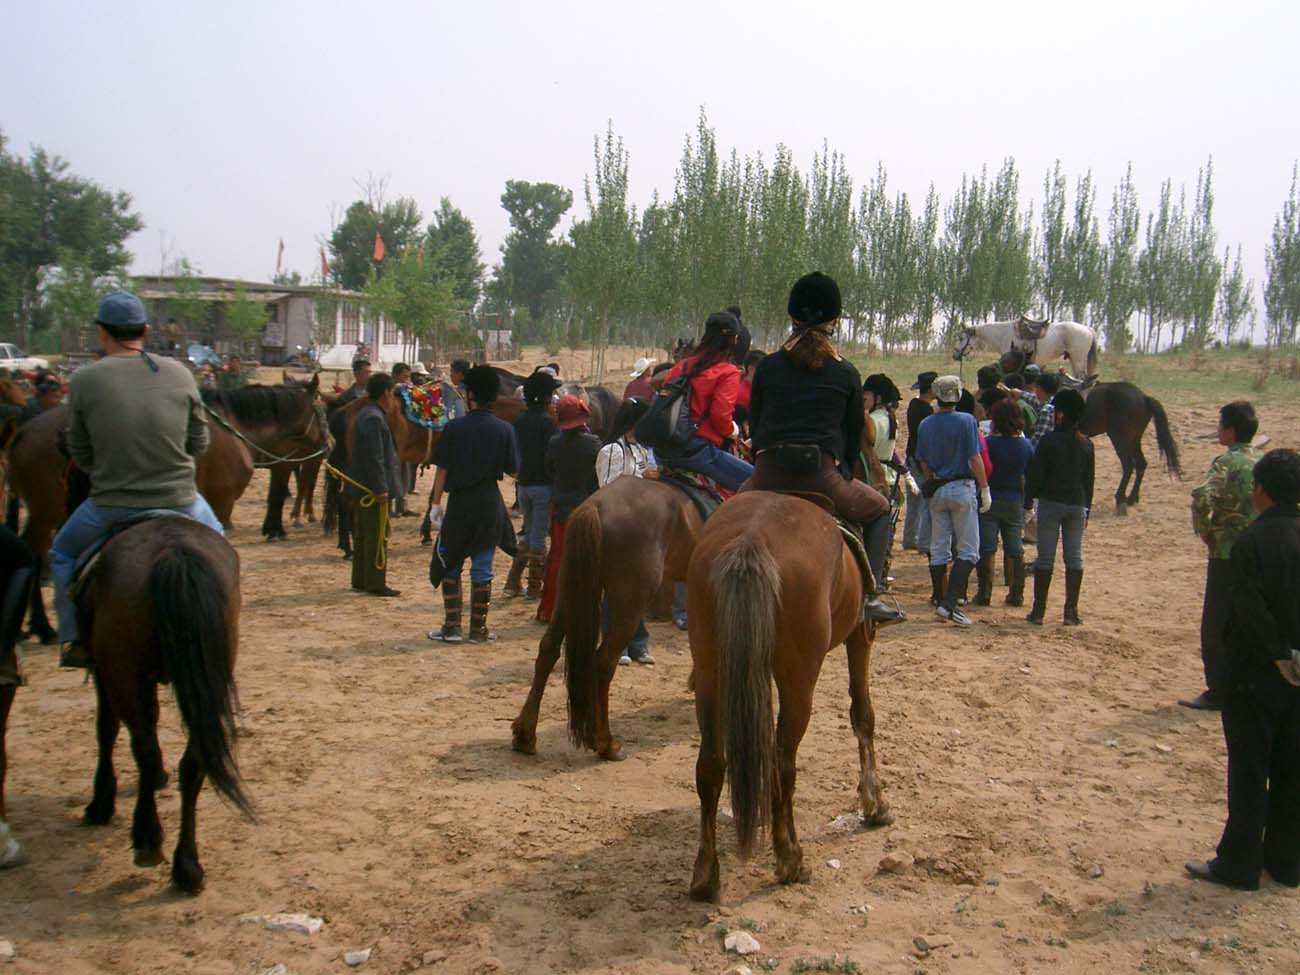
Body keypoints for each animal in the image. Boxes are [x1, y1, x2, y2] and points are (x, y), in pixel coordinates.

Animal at [75, 520, 250, 894]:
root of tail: (173, 551)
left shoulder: (105, 670)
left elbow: (106, 729)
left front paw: (101, 801)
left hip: (122, 670)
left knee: (144, 746)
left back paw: (147, 838)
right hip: (209, 675)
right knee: (193, 761)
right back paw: (188, 865)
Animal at [512, 478, 707, 759]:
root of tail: (595, 505)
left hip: (570, 589)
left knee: (548, 648)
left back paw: (525, 735)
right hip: (630, 603)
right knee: (604, 662)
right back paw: (605, 742)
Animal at [686, 496, 889, 909]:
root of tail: (751, 540)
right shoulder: (861, 635)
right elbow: (863, 714)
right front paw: (874, 803)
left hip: (712, 670)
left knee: (711, 765)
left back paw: (704, 877)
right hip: (799, 680)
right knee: (783, 763)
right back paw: (790, 859)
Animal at [1081, 382, 1185, 514]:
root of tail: (1144, 398)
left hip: (1120, 438)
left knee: (1128, 466)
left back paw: (1120, 498)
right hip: (1134, 439)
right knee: (1141, 464)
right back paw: (1132, 498)